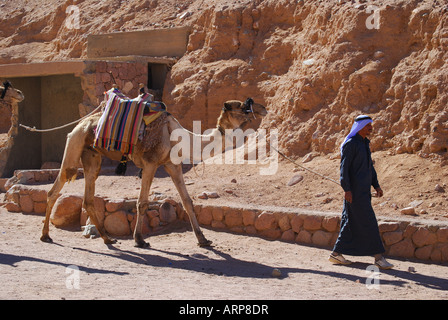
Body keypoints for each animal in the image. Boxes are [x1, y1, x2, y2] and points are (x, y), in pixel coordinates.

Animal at [40, 92, 268, 248]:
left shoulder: (172, 165)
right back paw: (46, 235)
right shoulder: (150, 164)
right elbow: (142, 203)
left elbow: (187, 201)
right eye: (244, 106)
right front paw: (139, 240)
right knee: (55, 189)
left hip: (92, 157)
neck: (179, 137)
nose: (264, 108)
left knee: (88, 198)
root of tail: (80, 125)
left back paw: (108, 238)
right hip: (74, 146)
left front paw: (203, 240)